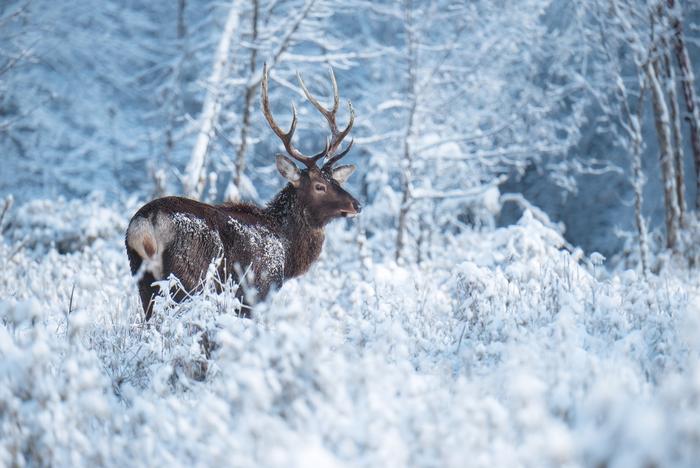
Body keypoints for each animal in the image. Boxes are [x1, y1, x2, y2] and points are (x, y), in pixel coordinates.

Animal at [126, 64, 364, 320]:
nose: (357, 204)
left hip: (143, 278)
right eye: (319, 186)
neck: (287, 250)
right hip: (188, 278)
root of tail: (147, 222)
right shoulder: (258, 288)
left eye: (336, 181)